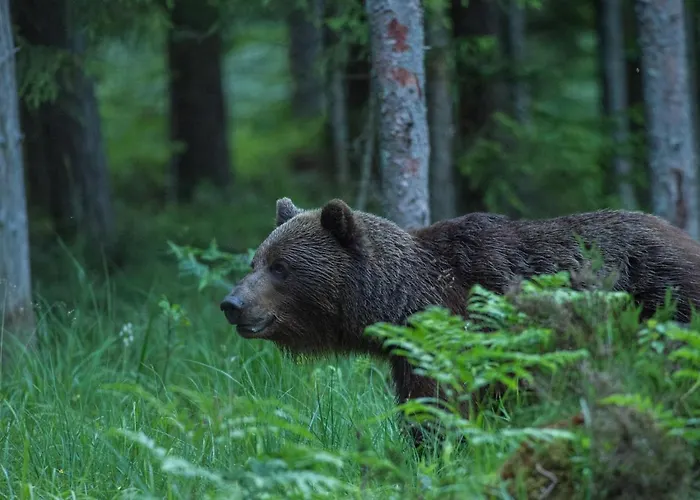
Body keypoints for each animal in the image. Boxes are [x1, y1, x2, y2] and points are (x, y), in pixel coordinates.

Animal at [220, 197, 700, 446]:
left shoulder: (457, 334)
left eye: (281, 268)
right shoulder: (410, 355)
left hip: (665, 302)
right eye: (255, 261)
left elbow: (438, 411)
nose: (232, 303)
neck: (399, 303)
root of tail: (683, 235)